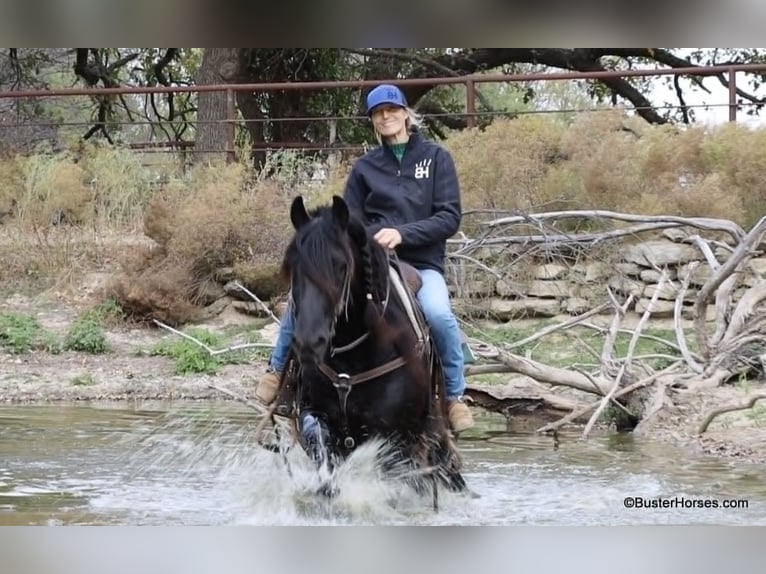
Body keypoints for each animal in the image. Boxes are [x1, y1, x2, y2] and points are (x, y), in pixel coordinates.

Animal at [276, 195, 468, 508]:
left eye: (341, 265)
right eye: (293, 266)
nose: (309, 342)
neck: (352, 357)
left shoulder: (398, 437)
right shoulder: (315, 415)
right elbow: (322, 454)